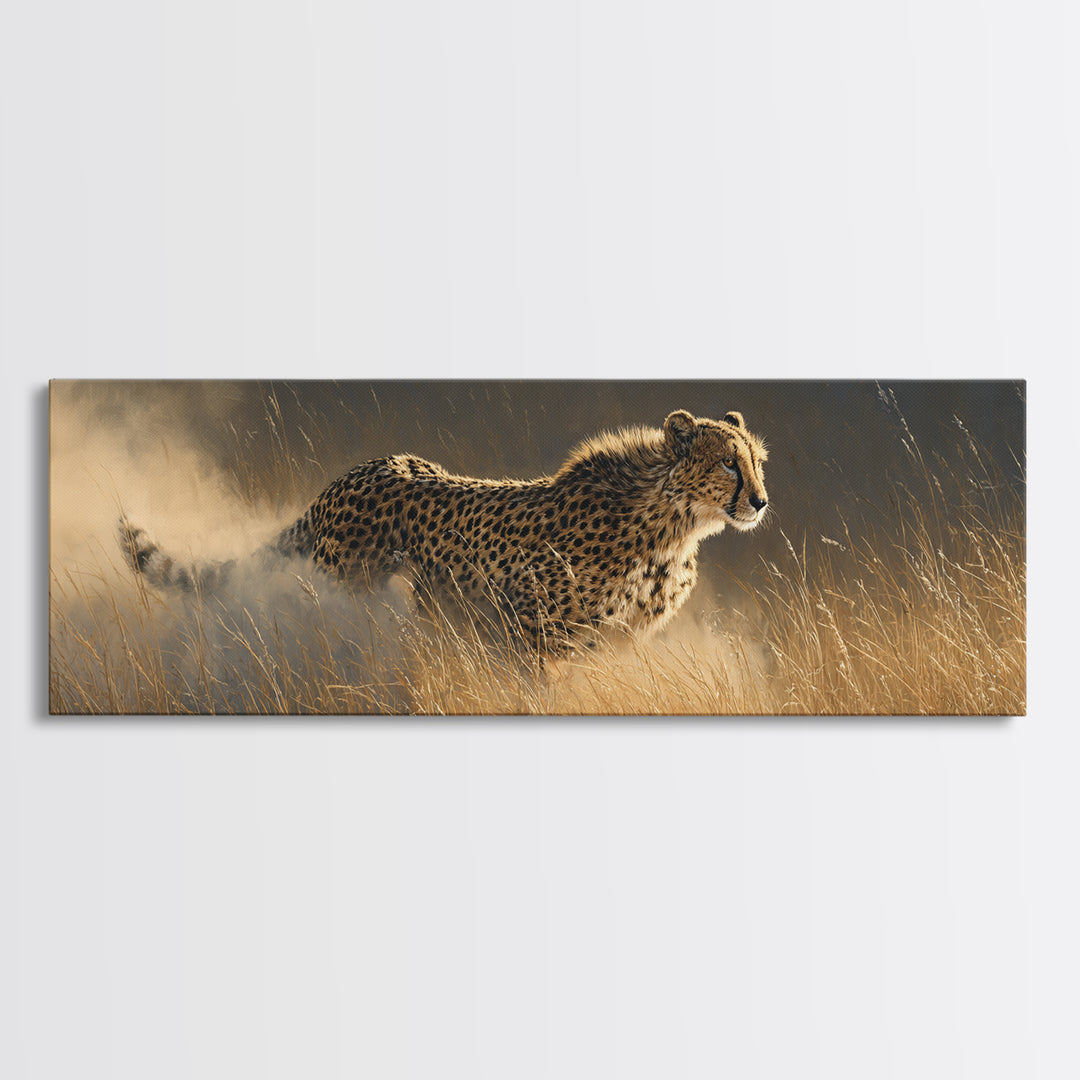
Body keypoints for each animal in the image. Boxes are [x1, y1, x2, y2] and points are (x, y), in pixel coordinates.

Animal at [120, 409, 768, 653]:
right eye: (727, 463)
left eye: (758, 460)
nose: (761, 501)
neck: (672, 525)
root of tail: (361, 470)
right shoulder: (529, 622)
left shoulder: (616, 642)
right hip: (352, 592)